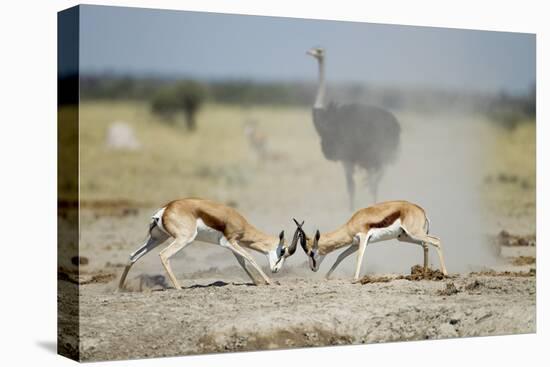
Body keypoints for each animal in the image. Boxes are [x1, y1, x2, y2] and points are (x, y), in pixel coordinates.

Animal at [118, 198, 304, 290]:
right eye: (283, 252)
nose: (276, 270)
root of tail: (165, 209)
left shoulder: (232, 245)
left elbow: (242, 262)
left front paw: (257, 282)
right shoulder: (230, 241)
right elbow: (250, 258)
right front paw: (269, 282)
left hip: (158, 238)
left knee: (132, 256)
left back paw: (119, 289)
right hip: (183, 239)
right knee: (164, 255)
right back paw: (179, 288)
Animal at [298, 201, 448, 282]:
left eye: (311, 252)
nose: (312, 268)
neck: (350, 225)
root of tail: (420, 209)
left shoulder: (364, 238)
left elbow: (359, 256)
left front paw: (355, 278)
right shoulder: (355, 244)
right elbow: (341, 256)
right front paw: (327, 276)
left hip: (414, 233)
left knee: (436, 240)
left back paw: (445, 273)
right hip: (405, 236)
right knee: (425, 244)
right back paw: (424, 273)